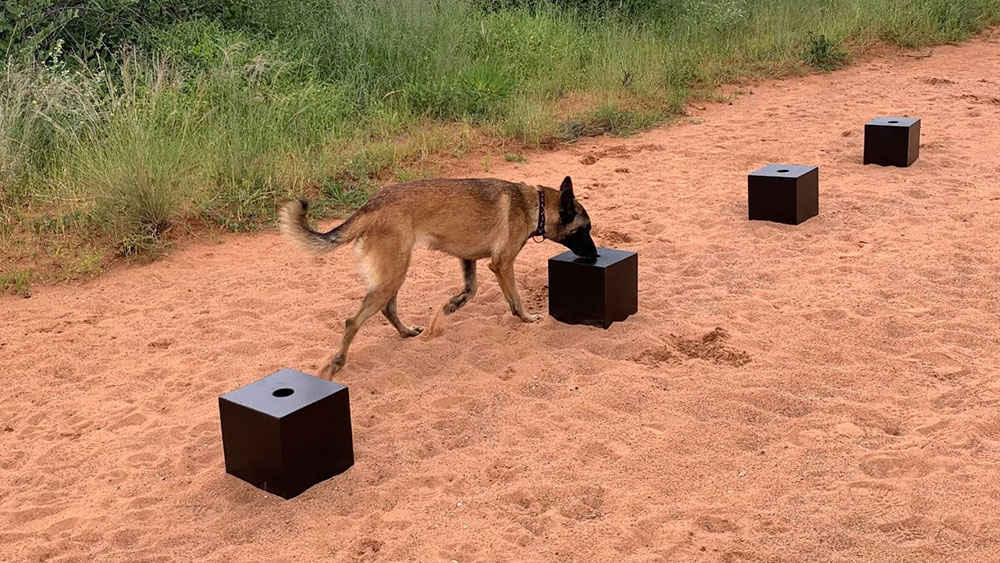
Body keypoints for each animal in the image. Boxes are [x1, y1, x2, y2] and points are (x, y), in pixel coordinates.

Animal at [278, 176, 596, 378]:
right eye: (584, 230)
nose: (594, 256)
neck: (534, 204)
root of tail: (372, 204)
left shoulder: (469, 259)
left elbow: (471, 290)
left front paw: (450, 307)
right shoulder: (502, 264)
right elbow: (515, 298)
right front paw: (527, 318)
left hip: (394, 273)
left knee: (388, 309)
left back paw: (407, 332)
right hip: (393, 274)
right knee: (353, 321)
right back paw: (337, 362)